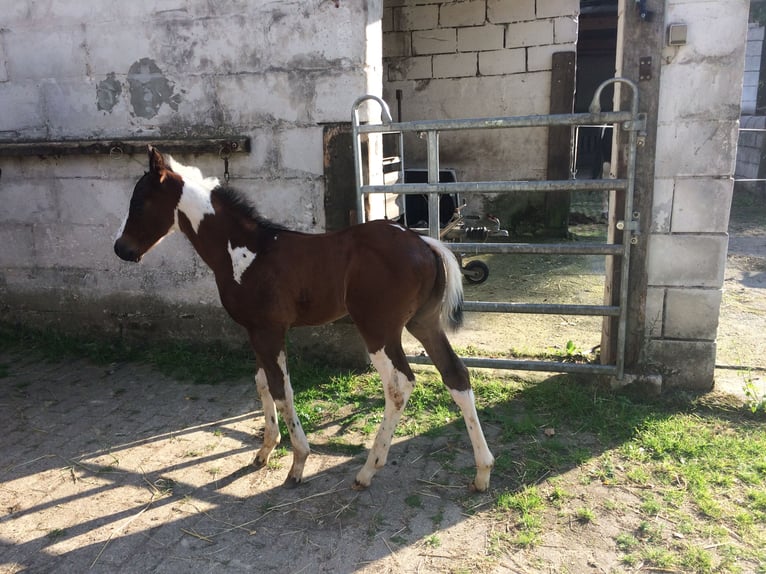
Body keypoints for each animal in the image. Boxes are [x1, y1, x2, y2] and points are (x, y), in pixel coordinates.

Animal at [114, 146, 494, 492]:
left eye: (140, 203)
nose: (121, 248)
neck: (246, 252)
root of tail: (425, 243)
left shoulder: (268, 331)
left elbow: (282, 390)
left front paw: (297, 463)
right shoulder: (256, 332)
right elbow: (263, 383)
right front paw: (265, 450)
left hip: (379, 330)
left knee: (399, 386)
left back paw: (368, 470)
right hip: (424, 324)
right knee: (456, 376)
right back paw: (482, 472)